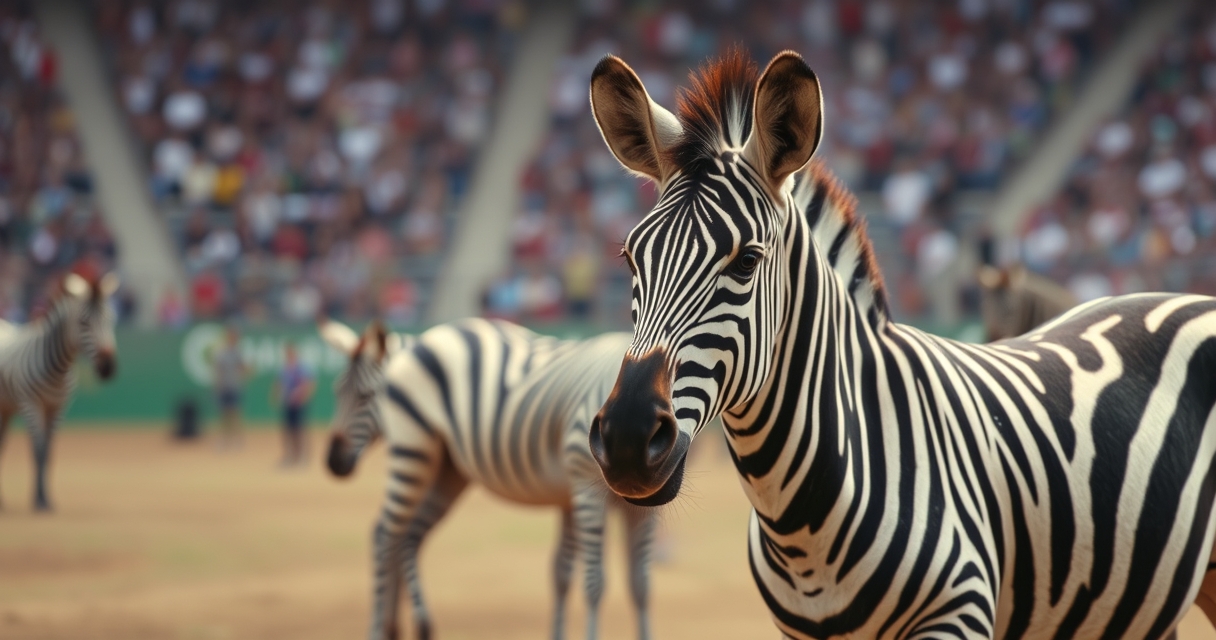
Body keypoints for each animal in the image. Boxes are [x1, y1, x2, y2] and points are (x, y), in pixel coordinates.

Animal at [0, 272, 119, 512]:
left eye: (111, 319)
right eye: (83, 323)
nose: (108, 368)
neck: (57, 369)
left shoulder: (57, 407)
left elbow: (49, 452)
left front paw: (47, 499)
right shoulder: (32, 405)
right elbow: (38, 452)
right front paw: (39, 500)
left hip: (6, 408)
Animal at [318, 318, 657, 640]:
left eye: (365, 397)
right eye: (336, 393)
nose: (333, 462)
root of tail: (427, 338)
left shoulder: (589, 500)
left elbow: (633, 583)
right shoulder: (583, 489)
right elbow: (592, 583)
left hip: (445, 471)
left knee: (404, 535)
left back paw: (404, 627)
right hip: (412, 449)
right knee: (384, 534)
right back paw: (382, 630)